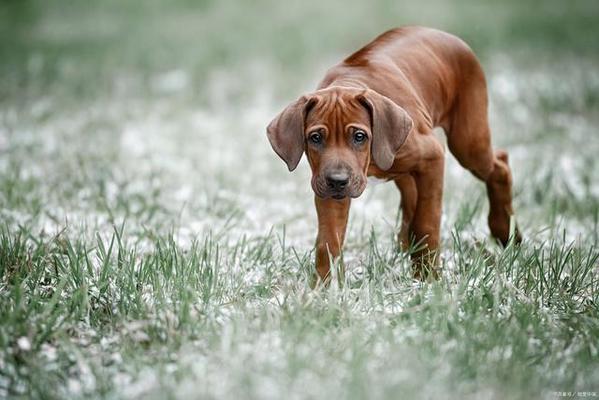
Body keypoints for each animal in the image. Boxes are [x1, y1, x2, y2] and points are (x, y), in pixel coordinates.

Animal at [266, 26, 520, 282]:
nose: (337, 181)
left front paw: (428, 278)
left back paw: (505, 232)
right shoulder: (327, 189)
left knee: (500, 164)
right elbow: (328, 240)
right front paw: (324, 286)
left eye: (359, 136)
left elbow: (426, 223)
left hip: (468, 142)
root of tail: (444, 34)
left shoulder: (432, 158)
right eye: (315, 138)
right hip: (410, 171)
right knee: (411, 197)